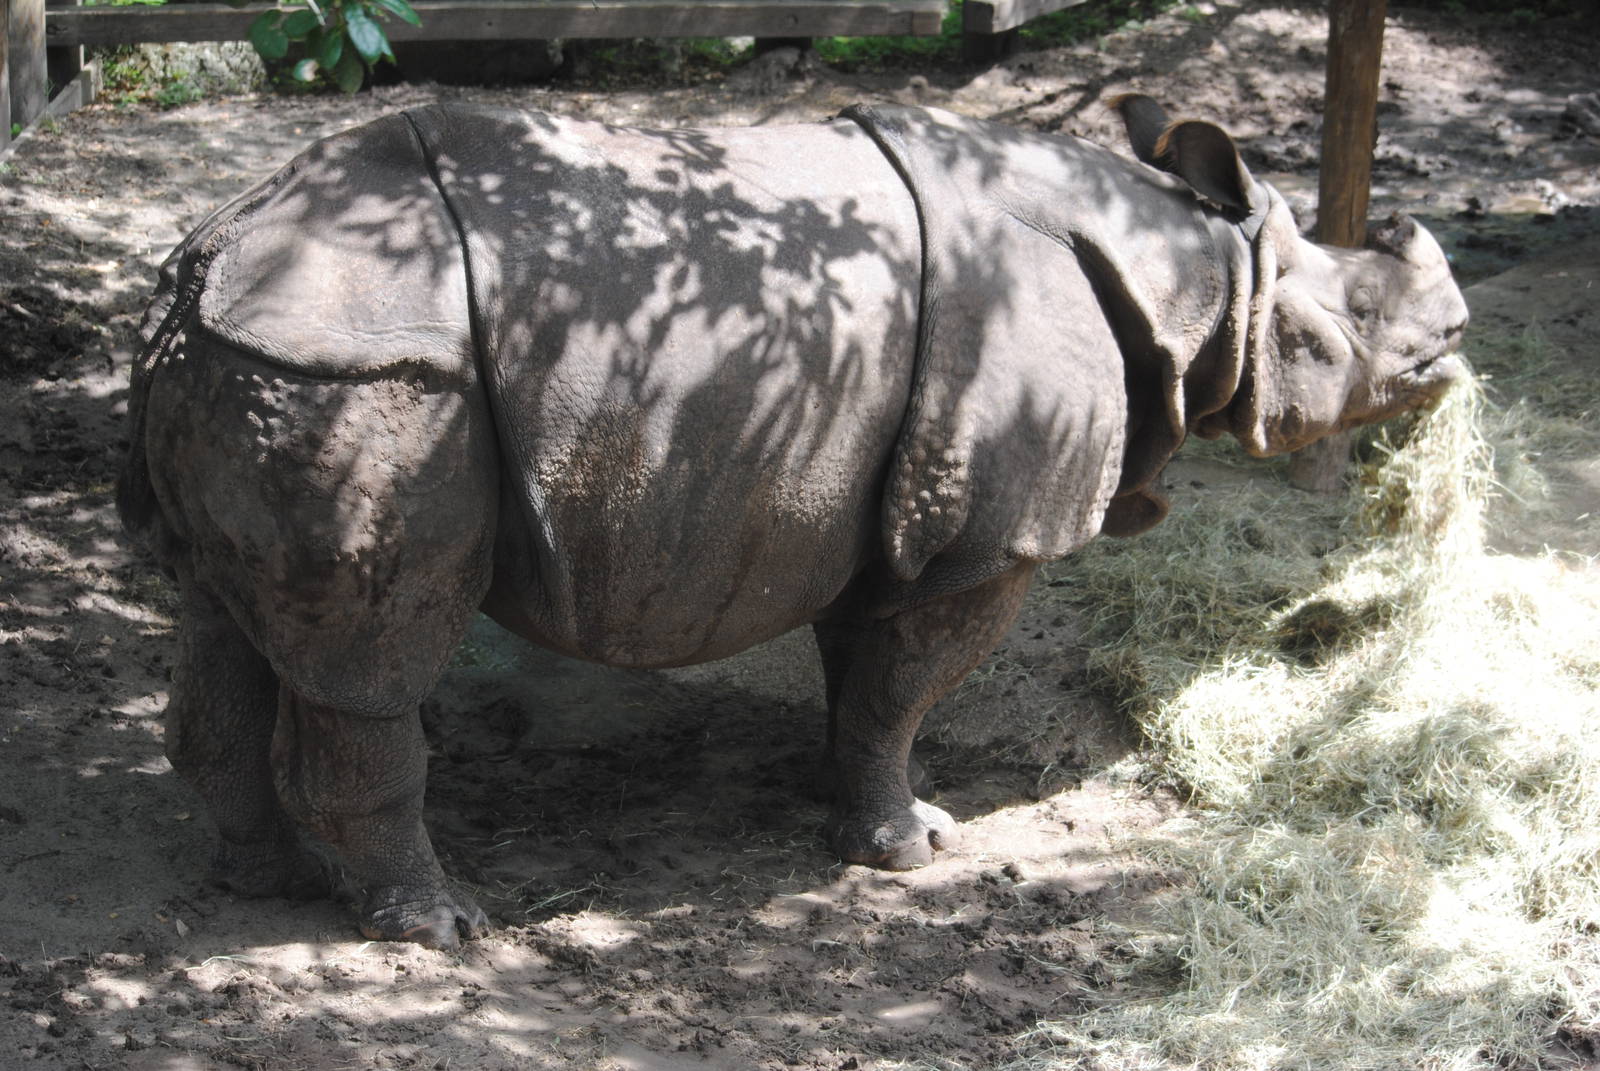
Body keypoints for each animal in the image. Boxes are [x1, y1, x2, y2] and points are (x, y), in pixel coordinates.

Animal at [119, 96, 1467, 949]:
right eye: (1352, 314)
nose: (1453, 344)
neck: (1199, 267)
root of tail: (202, 259)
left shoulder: (868, 499)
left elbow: (866, 675)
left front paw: (857, 809)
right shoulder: (983, 535)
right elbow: (911, 678)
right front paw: (913, 852)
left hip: (259, 363)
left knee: (225, 616)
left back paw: (261, 881)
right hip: (363, 373)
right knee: (371, 664)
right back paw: (434, 928)